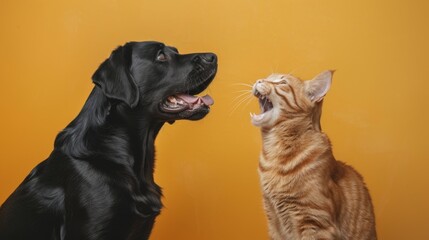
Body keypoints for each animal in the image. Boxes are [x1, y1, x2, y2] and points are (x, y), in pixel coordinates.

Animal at [251, 71, 374, 240]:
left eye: (282, 82)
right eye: (269, 77)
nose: (258, 80)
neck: (274, 155)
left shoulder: (314, 221)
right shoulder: (273, 220)